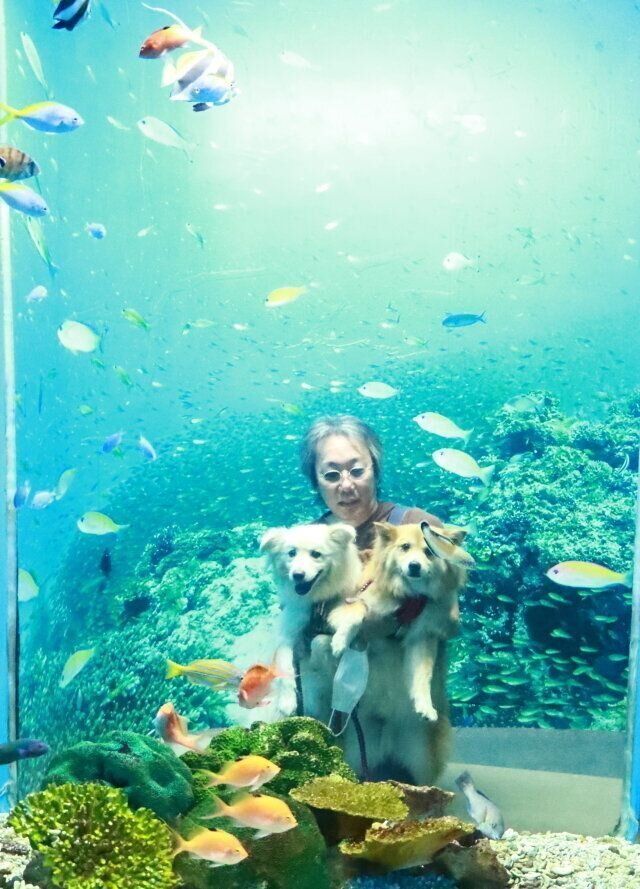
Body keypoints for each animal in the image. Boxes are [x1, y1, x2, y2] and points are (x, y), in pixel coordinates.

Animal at [259, 522, 362, 720]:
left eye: (316, 554)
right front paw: (287, 701)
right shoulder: (288, 632)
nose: (298, 575)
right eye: (291, 553)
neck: (317, 602)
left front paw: (339, 643)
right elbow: (285, 664)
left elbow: (332, 634)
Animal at [328, 521, 471, 784]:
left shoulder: (422, 638)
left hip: (421, 756)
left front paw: (425, 705)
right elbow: (357, 612)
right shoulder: (352, 604)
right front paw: (340, 641)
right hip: (356, 752)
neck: (407, 597)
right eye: (405, 547)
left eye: (429, 552)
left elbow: (422, 675)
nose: (414, 566)